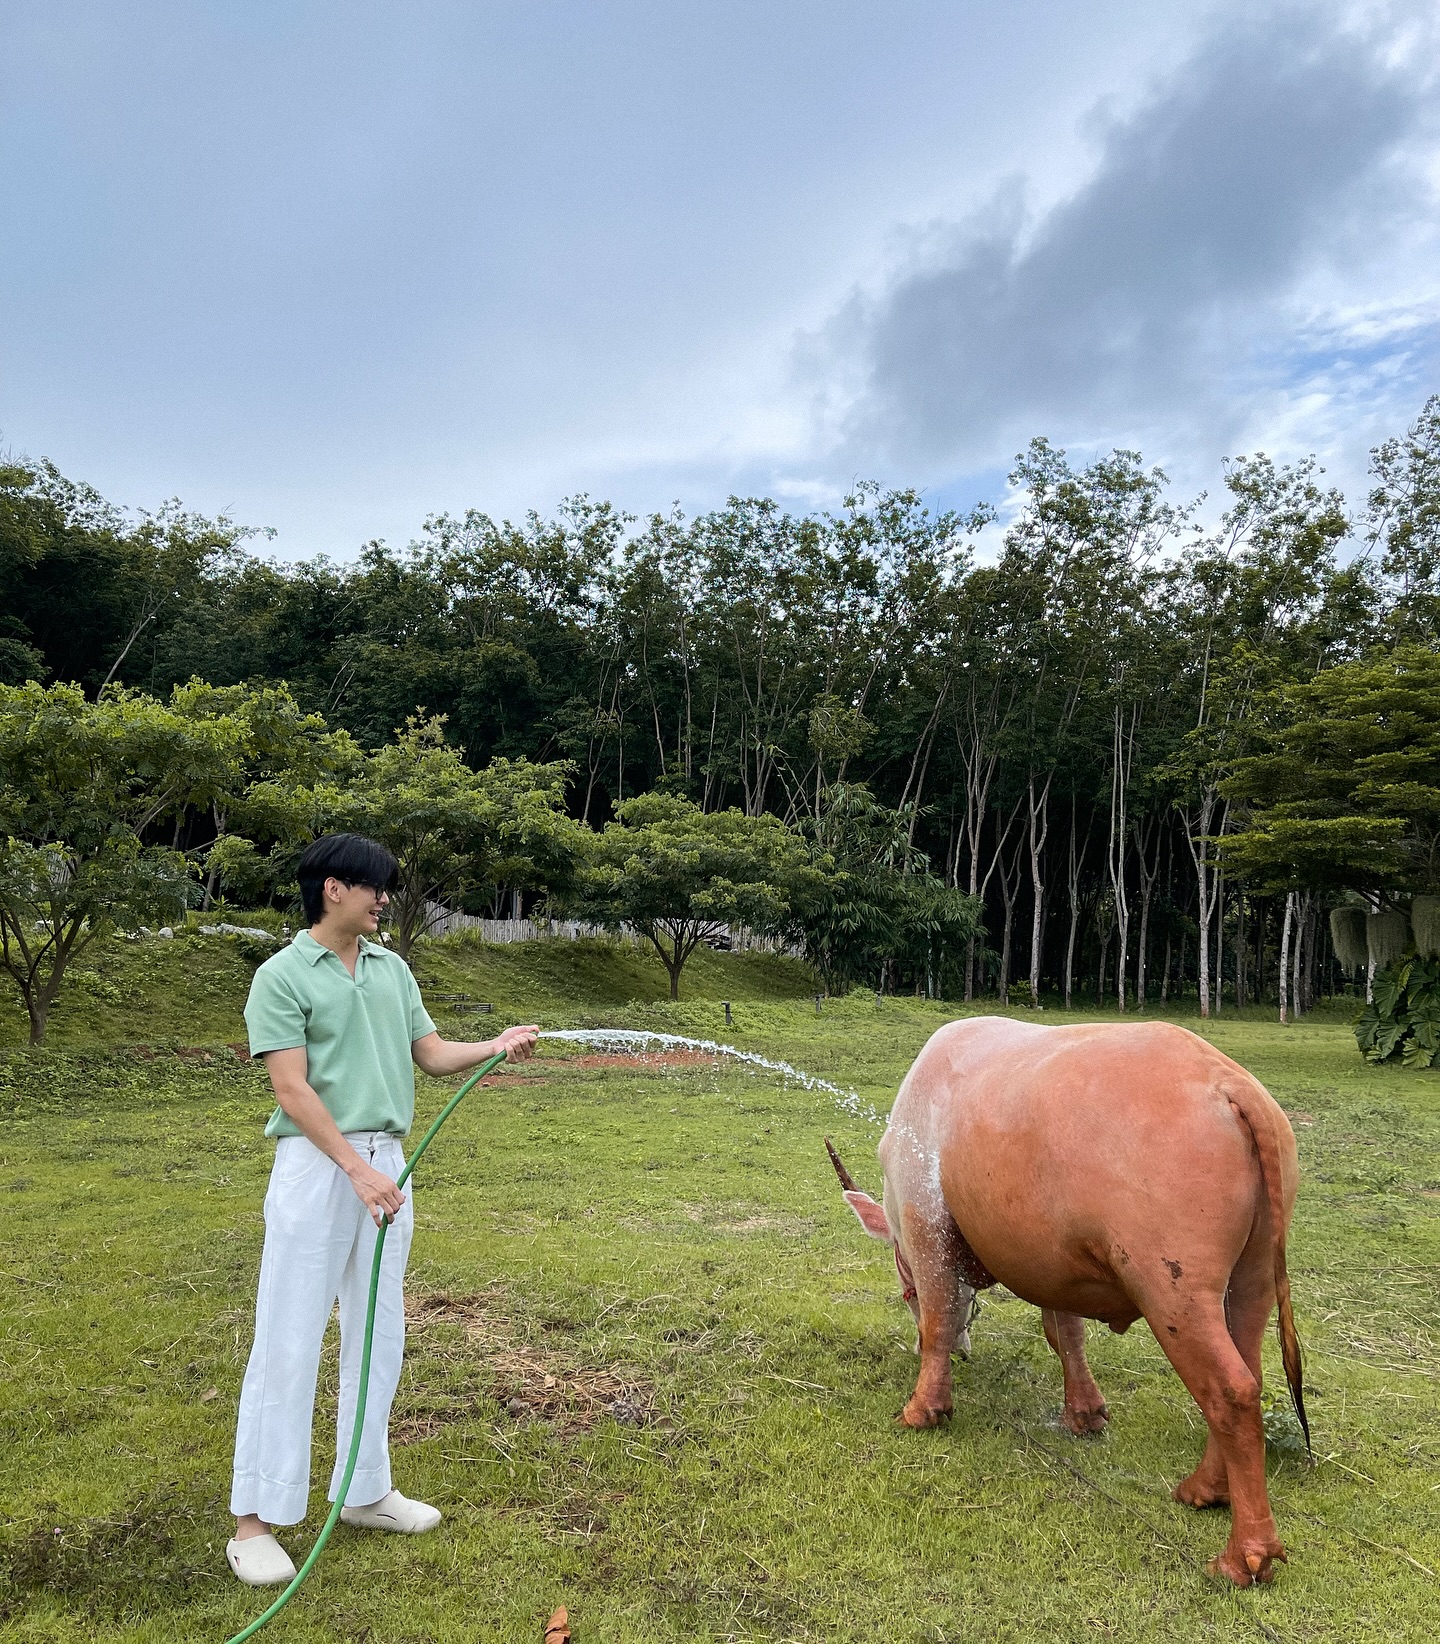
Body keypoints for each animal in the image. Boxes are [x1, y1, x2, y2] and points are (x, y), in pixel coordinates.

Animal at [828, 1012, 1308, 1578]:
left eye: (907, 1294)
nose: (967, 1352)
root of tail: (1228, 1083)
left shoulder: (925, 1225)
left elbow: (938, 1323)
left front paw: (925, 1408)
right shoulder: (1050, 1263)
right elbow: (1065, 1333)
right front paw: (1084, 1412)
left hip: (1174, 1292)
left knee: (1230, 1391)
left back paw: (1245, 1554)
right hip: (1253, 1279)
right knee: (1250, 1371)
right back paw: (1207, 1489)